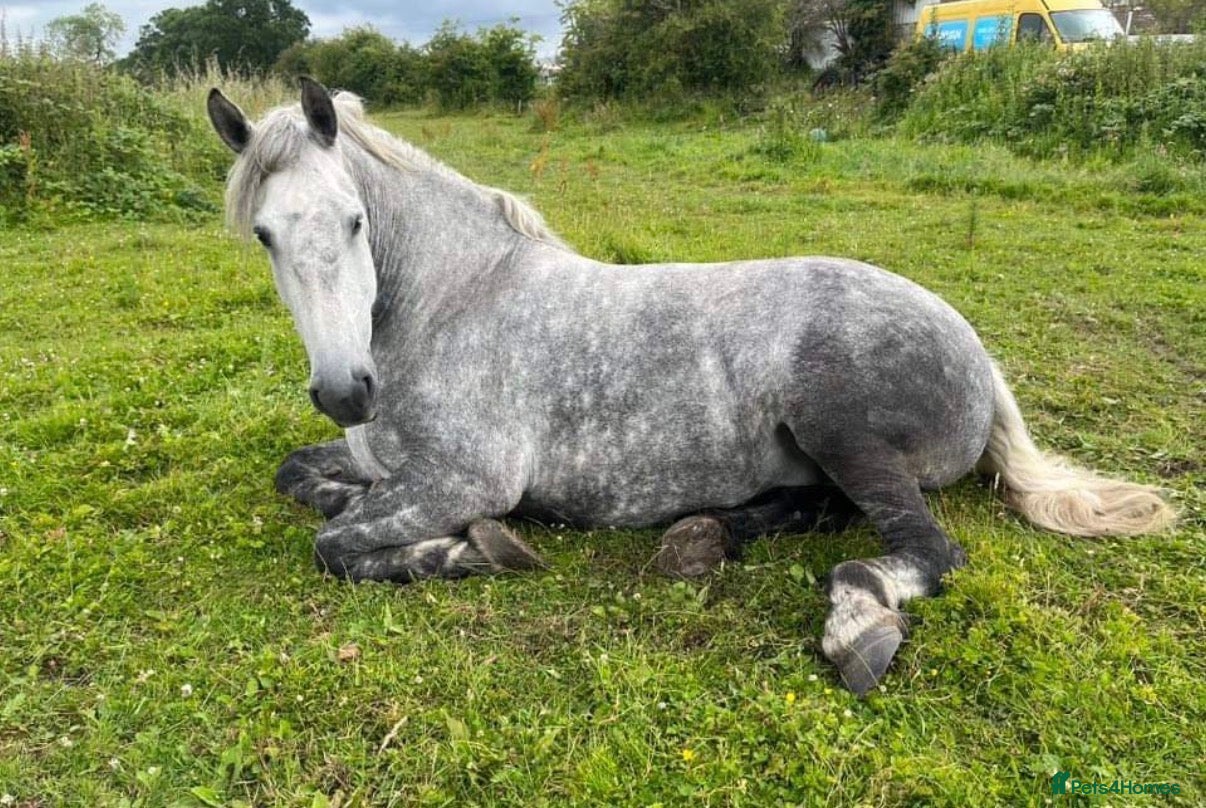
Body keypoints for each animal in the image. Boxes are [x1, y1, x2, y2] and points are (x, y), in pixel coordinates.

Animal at [206, 79, 1174, 695]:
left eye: (354, 221)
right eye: (263, 233)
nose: (346, 393)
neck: (453, 303)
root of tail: (975, 350)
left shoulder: (465, 480)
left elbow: (335, 547)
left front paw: (470, 550)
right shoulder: (383, 463)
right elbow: (303, 479)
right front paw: (349, 496)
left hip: (838, 427)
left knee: (920, 548)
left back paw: (855, 624)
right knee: (820, 509)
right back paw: (706, 536)